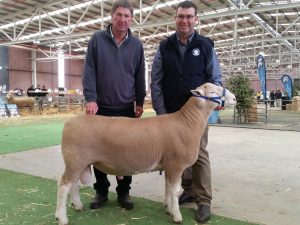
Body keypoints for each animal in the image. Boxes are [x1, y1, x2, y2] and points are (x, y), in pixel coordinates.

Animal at [55, 83, 236, 225]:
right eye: (212, 92)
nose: (234, 98)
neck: (186, 122)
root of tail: (69, 122)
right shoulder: (176, 165)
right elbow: (175, 191)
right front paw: (177, 216)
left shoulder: (169, 165)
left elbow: (168, 188)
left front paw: (169, 209)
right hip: (74, 160)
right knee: (64, 185)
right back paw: (61, 217)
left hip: (79, 162)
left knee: (74, 184)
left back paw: (78, 206)